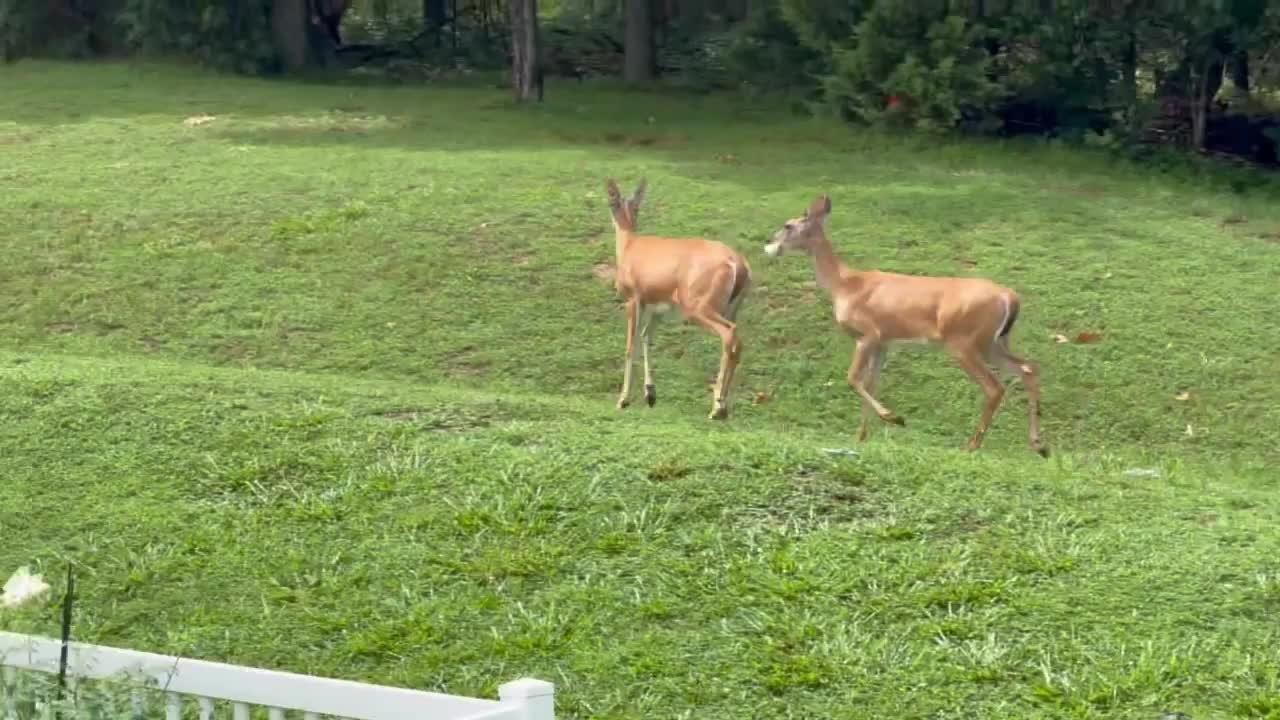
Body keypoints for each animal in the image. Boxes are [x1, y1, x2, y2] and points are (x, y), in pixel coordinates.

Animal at [604, 178, 752, 420]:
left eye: (612, 202)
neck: (628, 246)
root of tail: (738, 264)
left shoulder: (633, 298)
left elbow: (630, 345)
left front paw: (623, 400)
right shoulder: (659, 308)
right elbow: (646, 337)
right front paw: (650, 394)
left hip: (698, 304)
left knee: (728, 334)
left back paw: (717, 406)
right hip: (731, 307)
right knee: (738, 340)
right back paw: (723, 407)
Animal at [762, 194, 1048, 457]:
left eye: (787, 225)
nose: (768, 246)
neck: (843, 285)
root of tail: (1010, 297)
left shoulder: (868, 334)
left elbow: (853, 378)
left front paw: (894, 418)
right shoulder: (883, 343)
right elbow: (871, 383)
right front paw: (861, 437)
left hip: (964, 341)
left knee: (995, 387)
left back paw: (972, 445)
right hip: (993, 342)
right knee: (1028, 368)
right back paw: (1038, 444)